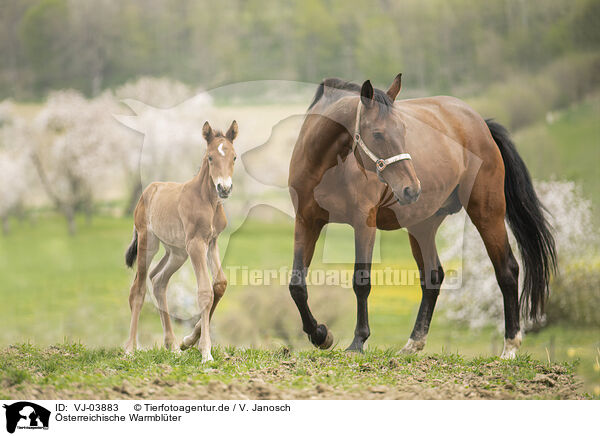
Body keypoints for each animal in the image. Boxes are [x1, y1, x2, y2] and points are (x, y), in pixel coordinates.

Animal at [123, 119, 238, 362]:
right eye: (210, 157)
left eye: (234, 157)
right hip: (149, 242)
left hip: (177, 252)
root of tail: (150, 189)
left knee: (158, 281)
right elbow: (204, 292)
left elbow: (219, 284)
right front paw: (205, 352)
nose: (224, 188)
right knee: (138, 289)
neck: (206, 200)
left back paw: (173, 345)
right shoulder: (196, 243)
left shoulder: (211, 242)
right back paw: (130, 348)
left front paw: (189, 341)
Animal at [288, 74, 556, 358]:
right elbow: (297, 284)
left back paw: (510, 346)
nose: (411, 188)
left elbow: (361, 281)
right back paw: (413, 343)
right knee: (433, 277)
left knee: (507, 269)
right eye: (377, 134)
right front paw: (320, 335)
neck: (325, 165)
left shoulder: (364, 224)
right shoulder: (306, 221)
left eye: (404, 130)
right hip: (422, 226)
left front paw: (358, 342)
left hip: (487, 212)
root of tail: (481, 124)